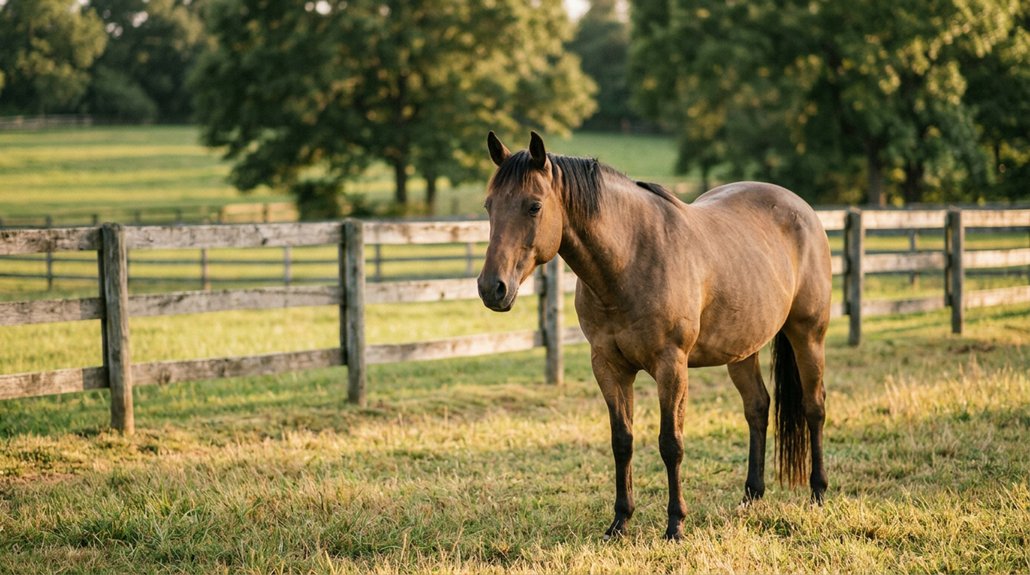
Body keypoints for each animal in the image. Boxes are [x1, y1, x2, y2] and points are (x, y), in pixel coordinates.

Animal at [477, 132, 832, 541]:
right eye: (489, 205)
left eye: (534, 206)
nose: (492, 288)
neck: (630, 259)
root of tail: (802, 209)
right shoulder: (608, 366)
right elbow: (622, 441)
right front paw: (619, 522)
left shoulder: (671, 365)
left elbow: (670, 443)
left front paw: (675, 524)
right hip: (742, 351)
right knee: (757, 407)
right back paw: (751, 496)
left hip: (808, 336)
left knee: (814, 407)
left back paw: (818, 492)